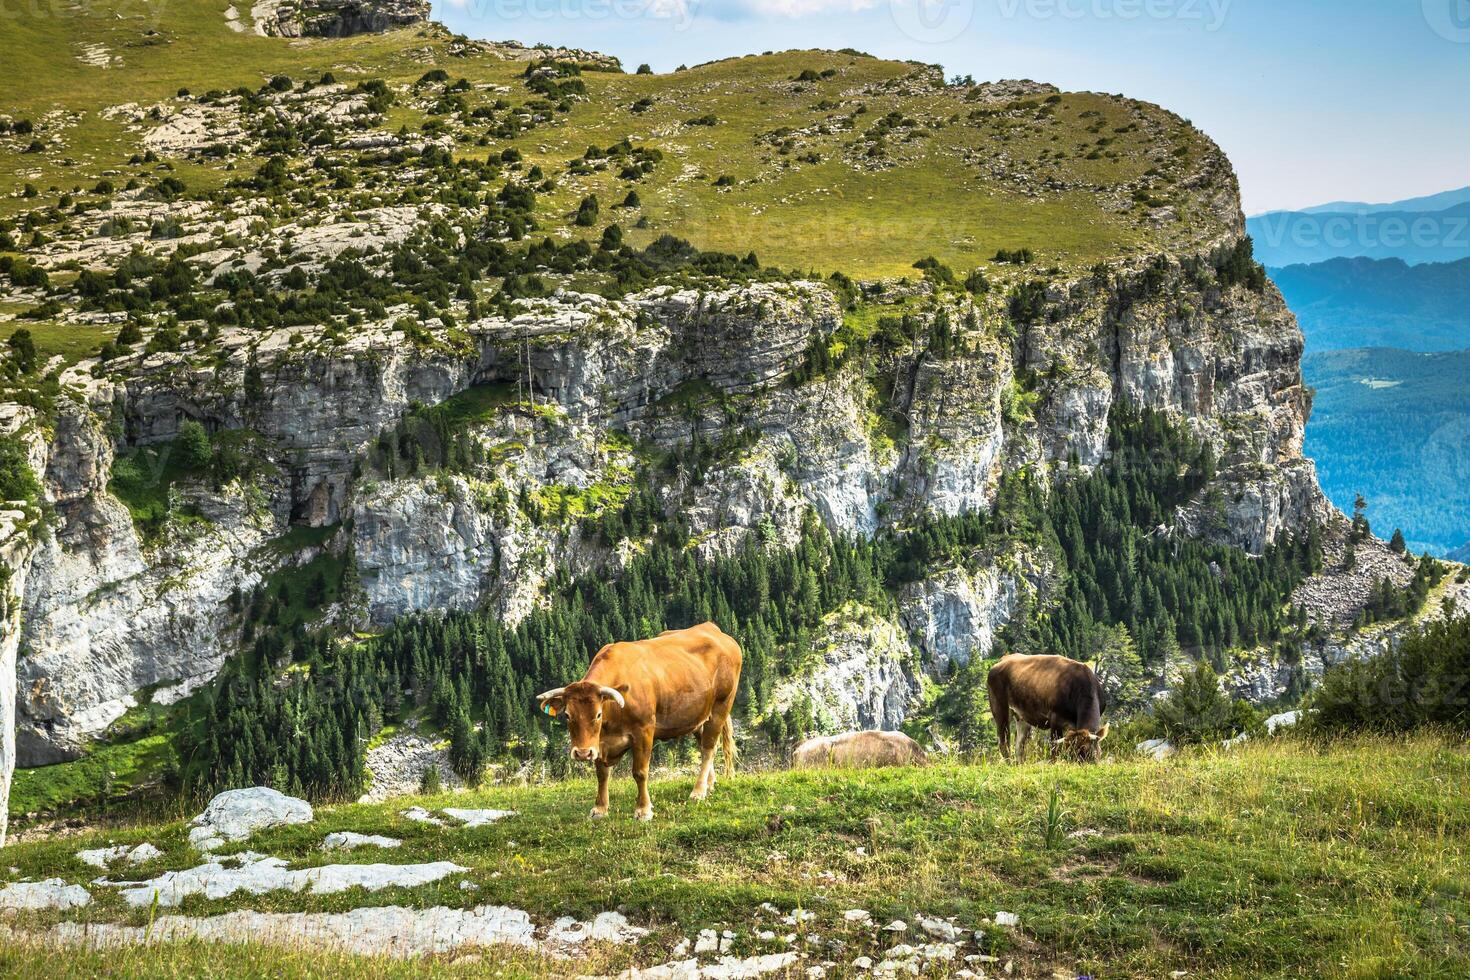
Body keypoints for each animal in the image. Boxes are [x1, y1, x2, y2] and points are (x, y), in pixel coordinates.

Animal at [538, 620, 740, 822]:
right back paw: (709, 784)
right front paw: (600, 808)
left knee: (708, 748)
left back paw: (698, 791)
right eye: (567, 715)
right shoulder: (600, 741)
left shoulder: (644, 731)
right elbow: (602, 774)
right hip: (697, 714)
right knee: (704, 743)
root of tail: (712, 628)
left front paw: (643, 810)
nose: (582, 753)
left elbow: (640, 772)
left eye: (598, 714)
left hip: (722, 705)